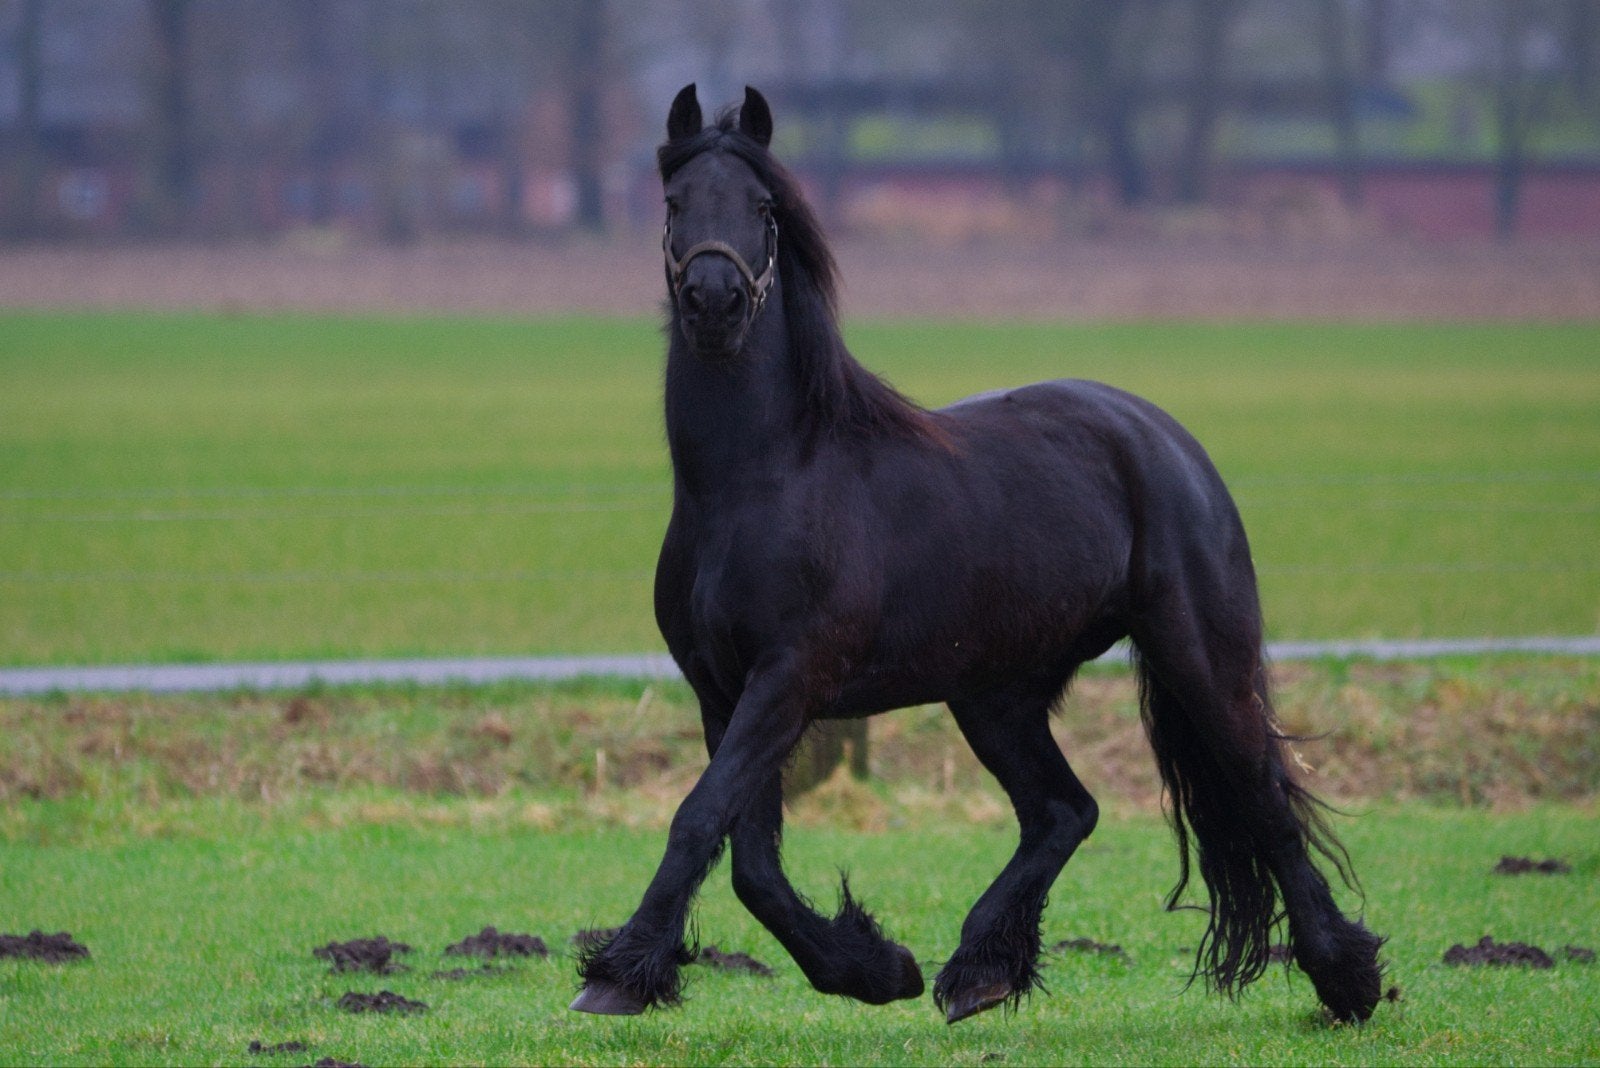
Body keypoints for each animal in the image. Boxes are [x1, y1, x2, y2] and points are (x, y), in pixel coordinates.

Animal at [570, 84, 1384, 1026]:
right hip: (995, 693)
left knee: (1264, 800)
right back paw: (979, 970)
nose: (714, 301)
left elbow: (699, 821)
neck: (759, 479)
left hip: (1200, 663)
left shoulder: (788, 680)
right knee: (1066, 811)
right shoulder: (722, 691)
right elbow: (751, 862)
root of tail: (1165, 440)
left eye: (764, 208)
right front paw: (873, 968)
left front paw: (617, 972)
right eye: (674, 204)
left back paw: (1346, 979)